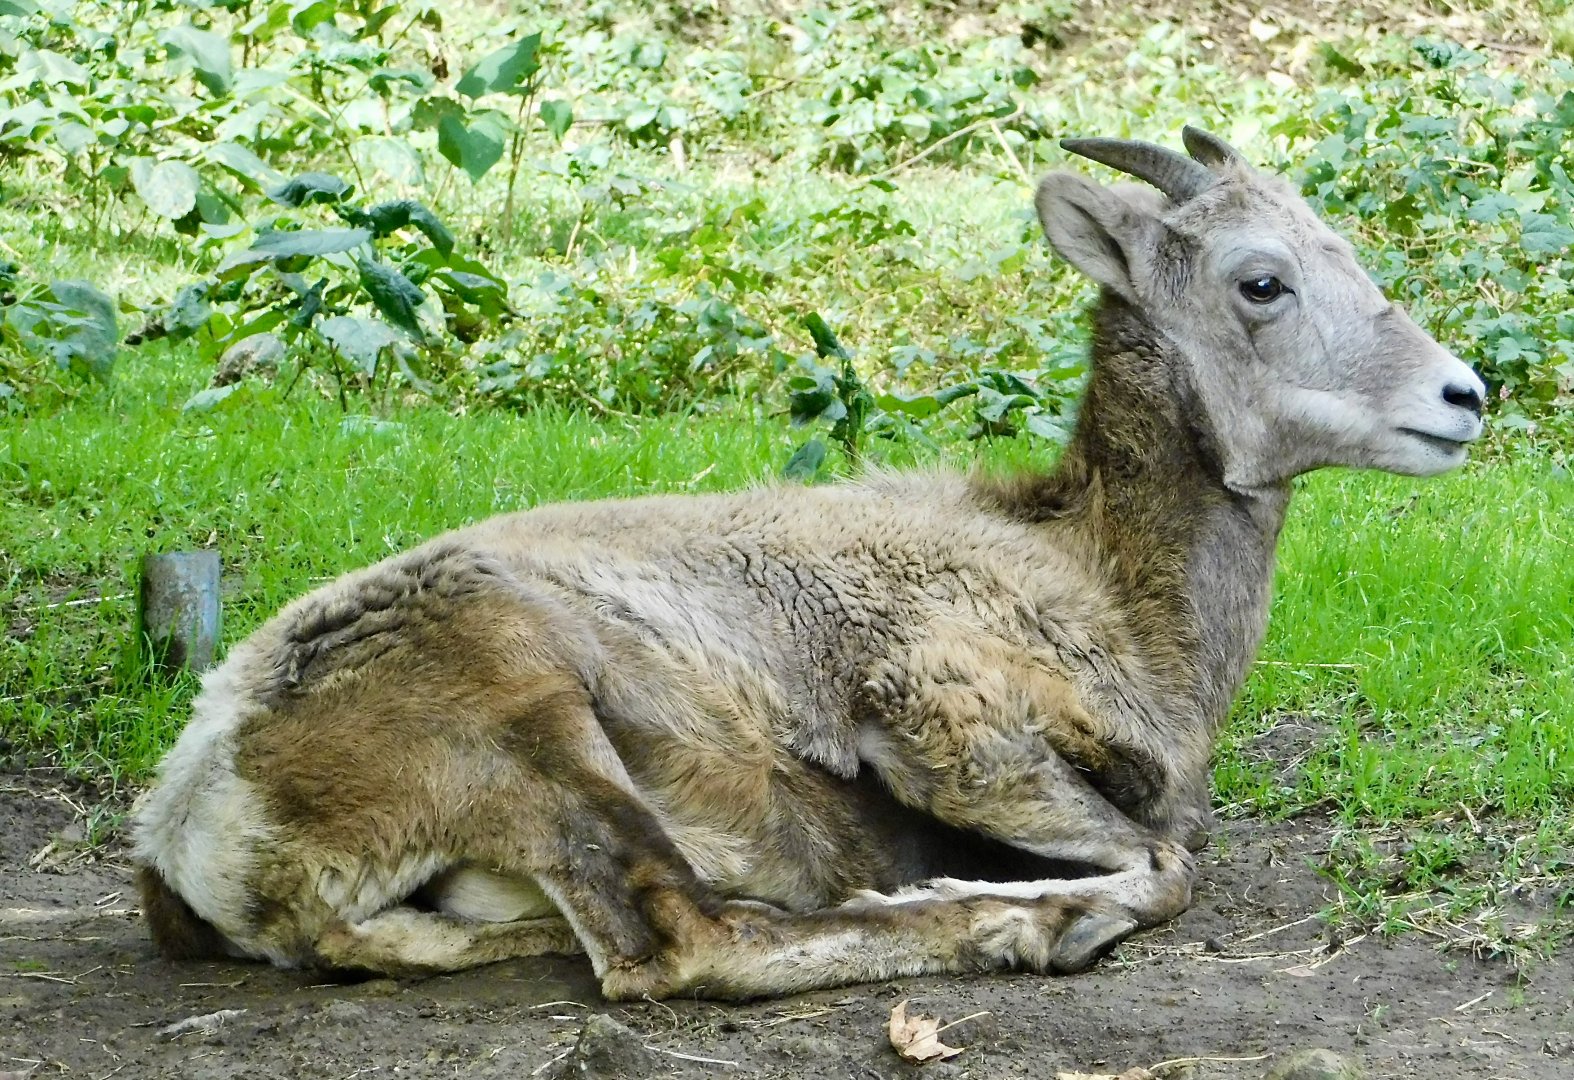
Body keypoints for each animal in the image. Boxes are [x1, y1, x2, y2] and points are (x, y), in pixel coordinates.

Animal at [129, 126, 1486, 1002]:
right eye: (1260, 281)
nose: (1461, 397)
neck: (1099, 580)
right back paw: (1013, 929)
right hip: (529, 717)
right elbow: (1163, 866)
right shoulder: (947, 730)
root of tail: (195, 821)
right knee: (679, 944)